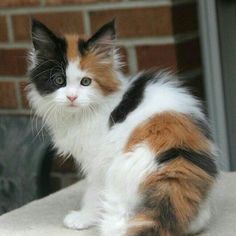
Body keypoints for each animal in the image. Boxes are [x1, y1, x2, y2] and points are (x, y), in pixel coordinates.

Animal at [27, 18, 218, 236]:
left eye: (86, 82)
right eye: (59, 80)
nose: (72, 97)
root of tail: (175, 158)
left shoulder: (98, 163)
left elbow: (92, 192)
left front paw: (82, 218)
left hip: (118, 173)